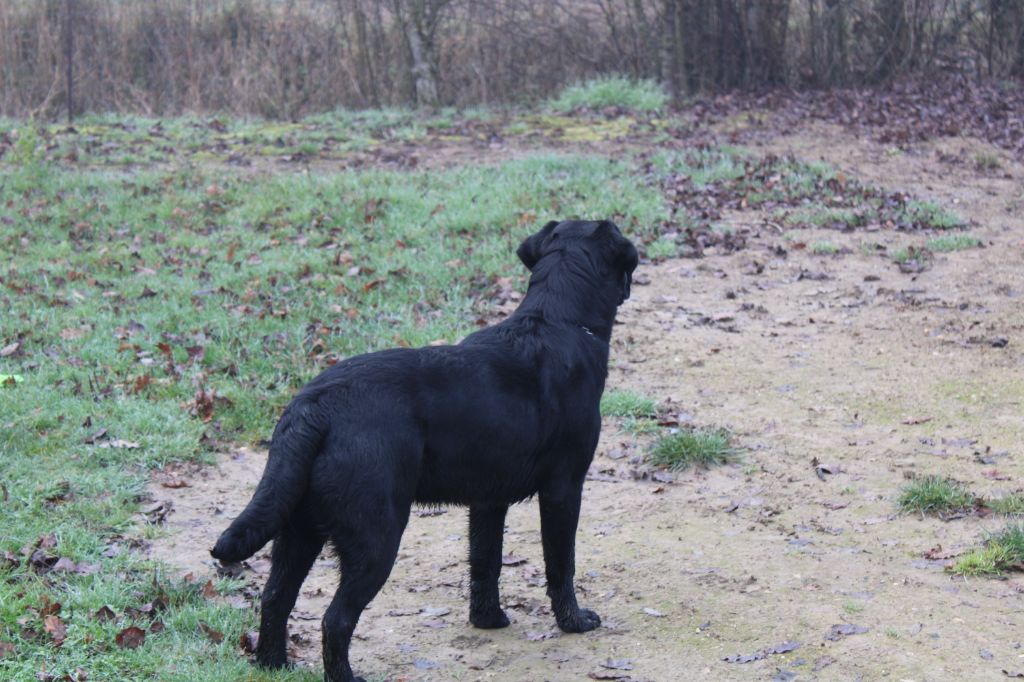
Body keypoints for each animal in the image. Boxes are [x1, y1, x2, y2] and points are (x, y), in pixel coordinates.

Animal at [211, 219, 634, 679]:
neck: (559, 321)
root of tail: (315, 406)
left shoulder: (489, 500)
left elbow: (485, 561)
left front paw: (488, 619)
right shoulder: (564, 488)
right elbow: (561, 563)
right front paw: (574, 622)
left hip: (297, 529)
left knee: (275, 599)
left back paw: (274, 666)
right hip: (375, 536)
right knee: (335, 619)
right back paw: (344, 675)